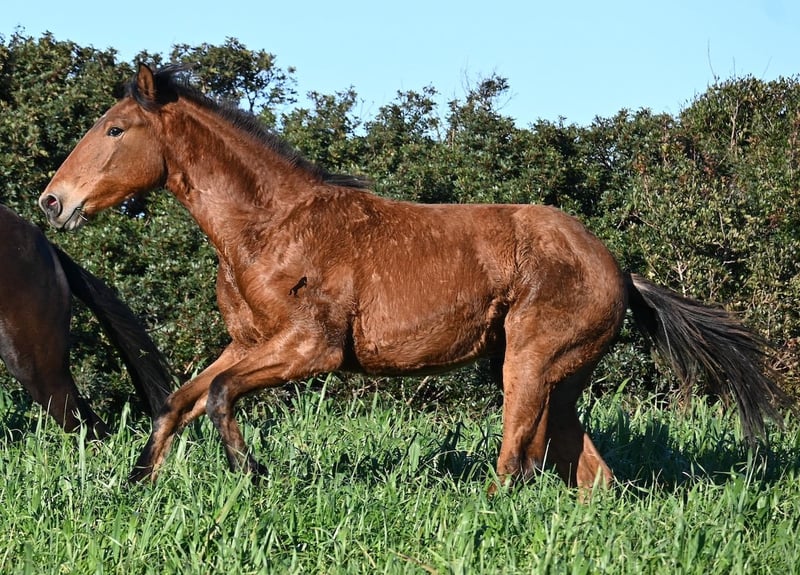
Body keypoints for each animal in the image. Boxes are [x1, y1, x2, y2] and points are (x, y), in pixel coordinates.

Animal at [38, 63, 792, 490]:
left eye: (114, 129)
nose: (53, 201)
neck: (271, 228)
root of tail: (622, 271)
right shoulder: (251, 343)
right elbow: (179, 399)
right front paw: (134, 487)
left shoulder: (310, 350)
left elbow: (219, 396)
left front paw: (253, 475)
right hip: (559, 380)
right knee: (590, 474)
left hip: (528, 366)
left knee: (515, 463)